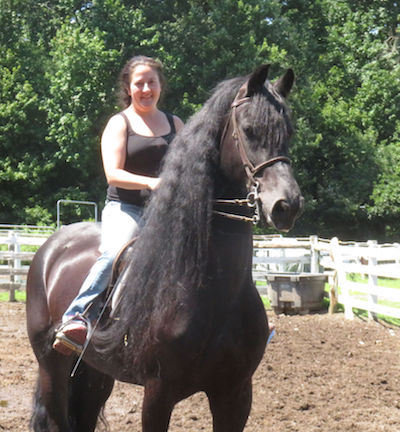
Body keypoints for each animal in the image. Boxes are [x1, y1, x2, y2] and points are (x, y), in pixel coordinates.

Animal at [26, 65, 304, 432]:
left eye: (288, 132)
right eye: (248, 130)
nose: (287, 205)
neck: (214, 292)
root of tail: (51, 247)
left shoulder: (236, 393)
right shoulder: (159, 393)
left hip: (94, 373)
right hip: (51, 367)